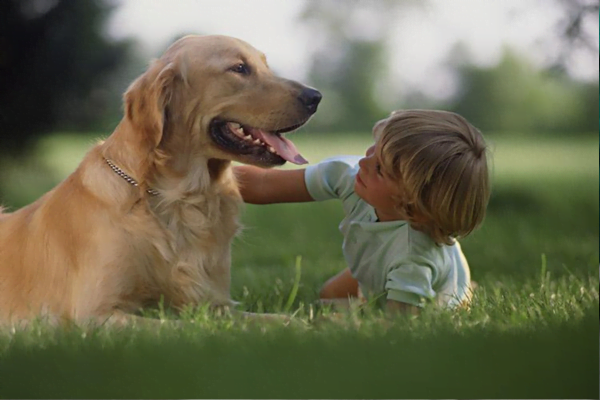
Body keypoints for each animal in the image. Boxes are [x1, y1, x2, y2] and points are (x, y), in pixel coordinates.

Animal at [0, 34, 324, 324]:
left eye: (264, 66)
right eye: (240, 68)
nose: (315, 97)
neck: (181, 198)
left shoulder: (218, 304)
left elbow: (283, 320)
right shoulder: (94, 314)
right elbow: (174, 326)